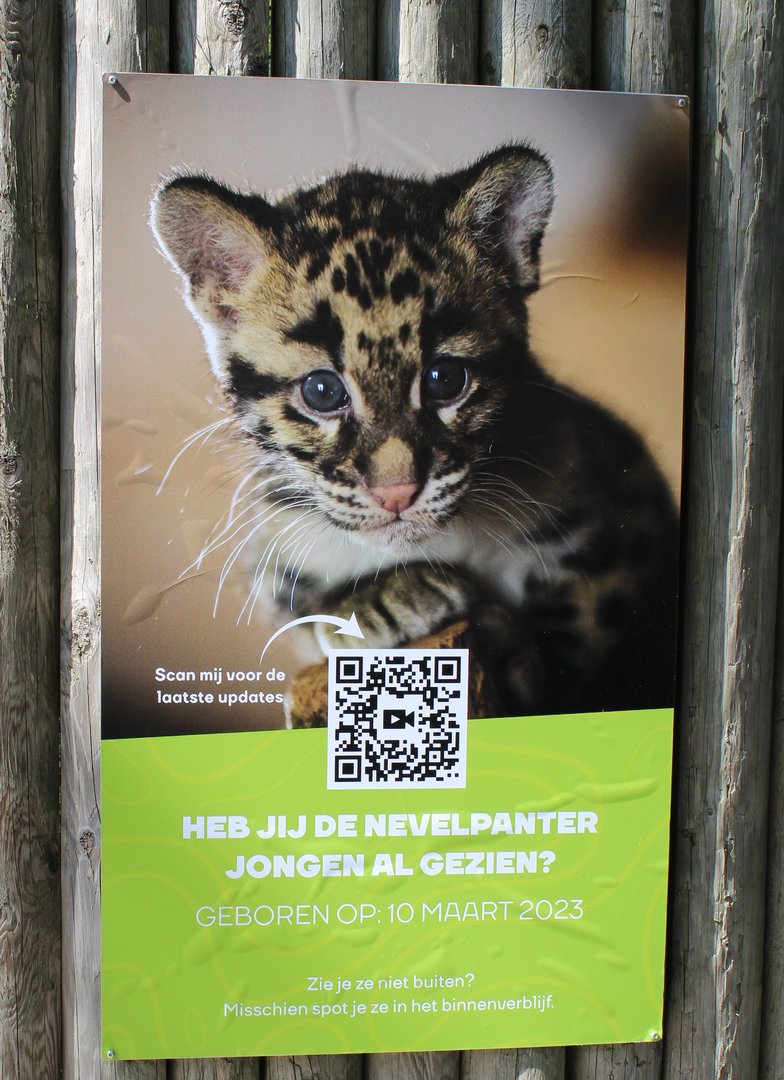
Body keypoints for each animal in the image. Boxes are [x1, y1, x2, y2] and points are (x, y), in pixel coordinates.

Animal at [150, 144, 679, 723]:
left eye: (445, 379)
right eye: (321, 391)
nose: (397, 492)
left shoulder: (625, 496)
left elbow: (591, 619)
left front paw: (523, 656)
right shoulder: (273, 552)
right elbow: (298, 605)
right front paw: (372, 600)